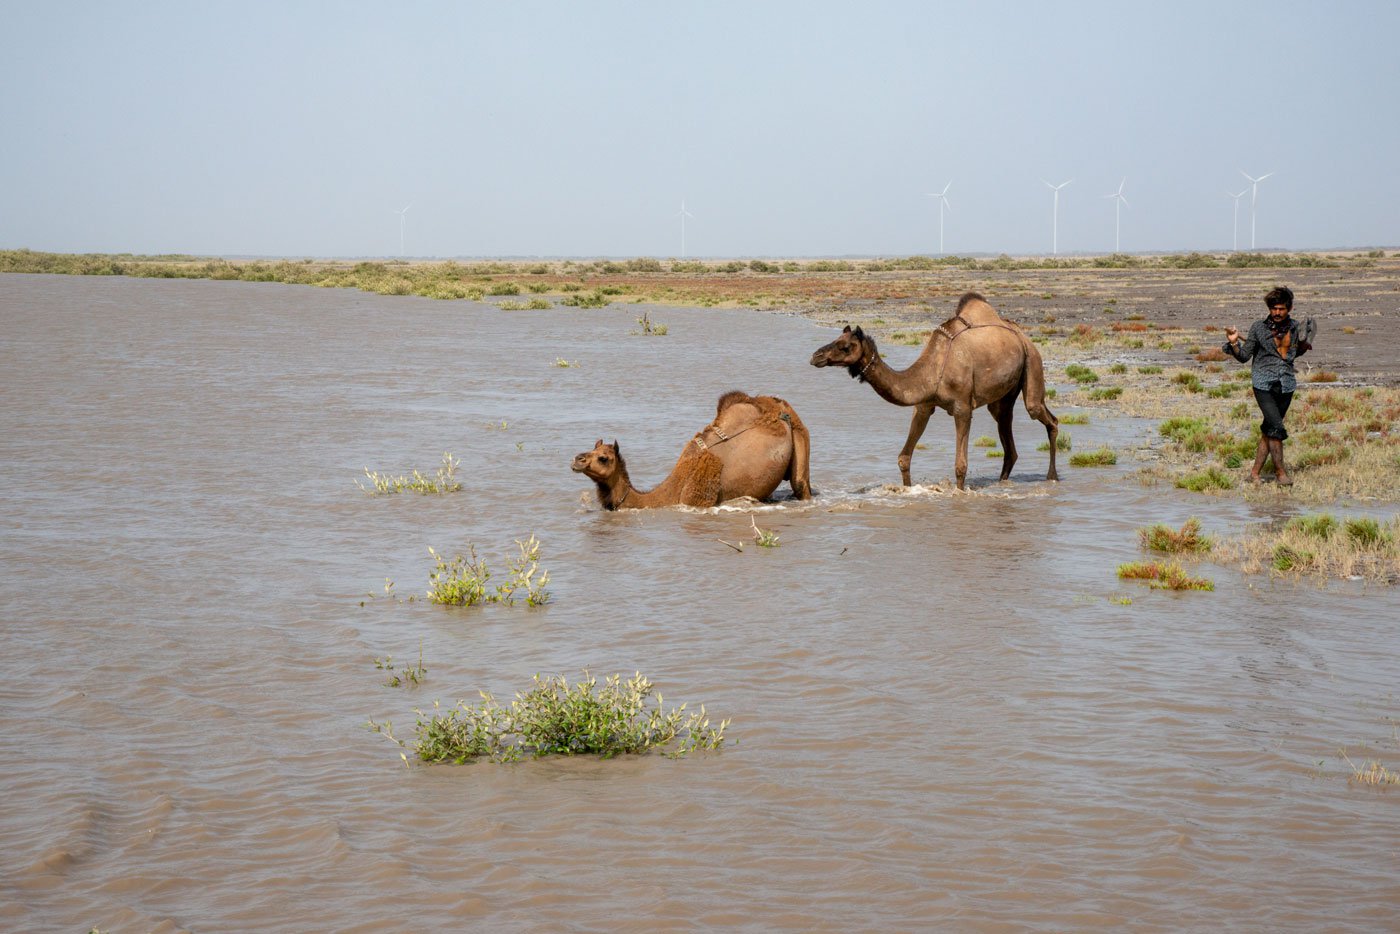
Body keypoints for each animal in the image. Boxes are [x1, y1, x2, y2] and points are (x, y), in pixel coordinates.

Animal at [565, 392, 812, 515]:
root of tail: (779, 405)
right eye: (593, 447)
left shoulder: (696, 501)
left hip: (801, 435)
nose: (577, 459)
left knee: (800, 483)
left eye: (603, 458)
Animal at [806, 294, 1052, 492]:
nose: (816, 356)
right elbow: (904, 458)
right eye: (835, 340)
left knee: (1044, 415)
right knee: (1007, 433)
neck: (935, 370)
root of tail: (1021, 335)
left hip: (1033, 361)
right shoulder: (924, 405)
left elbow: (960, 465)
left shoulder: (962, 408)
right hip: (1004, 395)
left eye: (845, 346)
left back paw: (1052, 476)